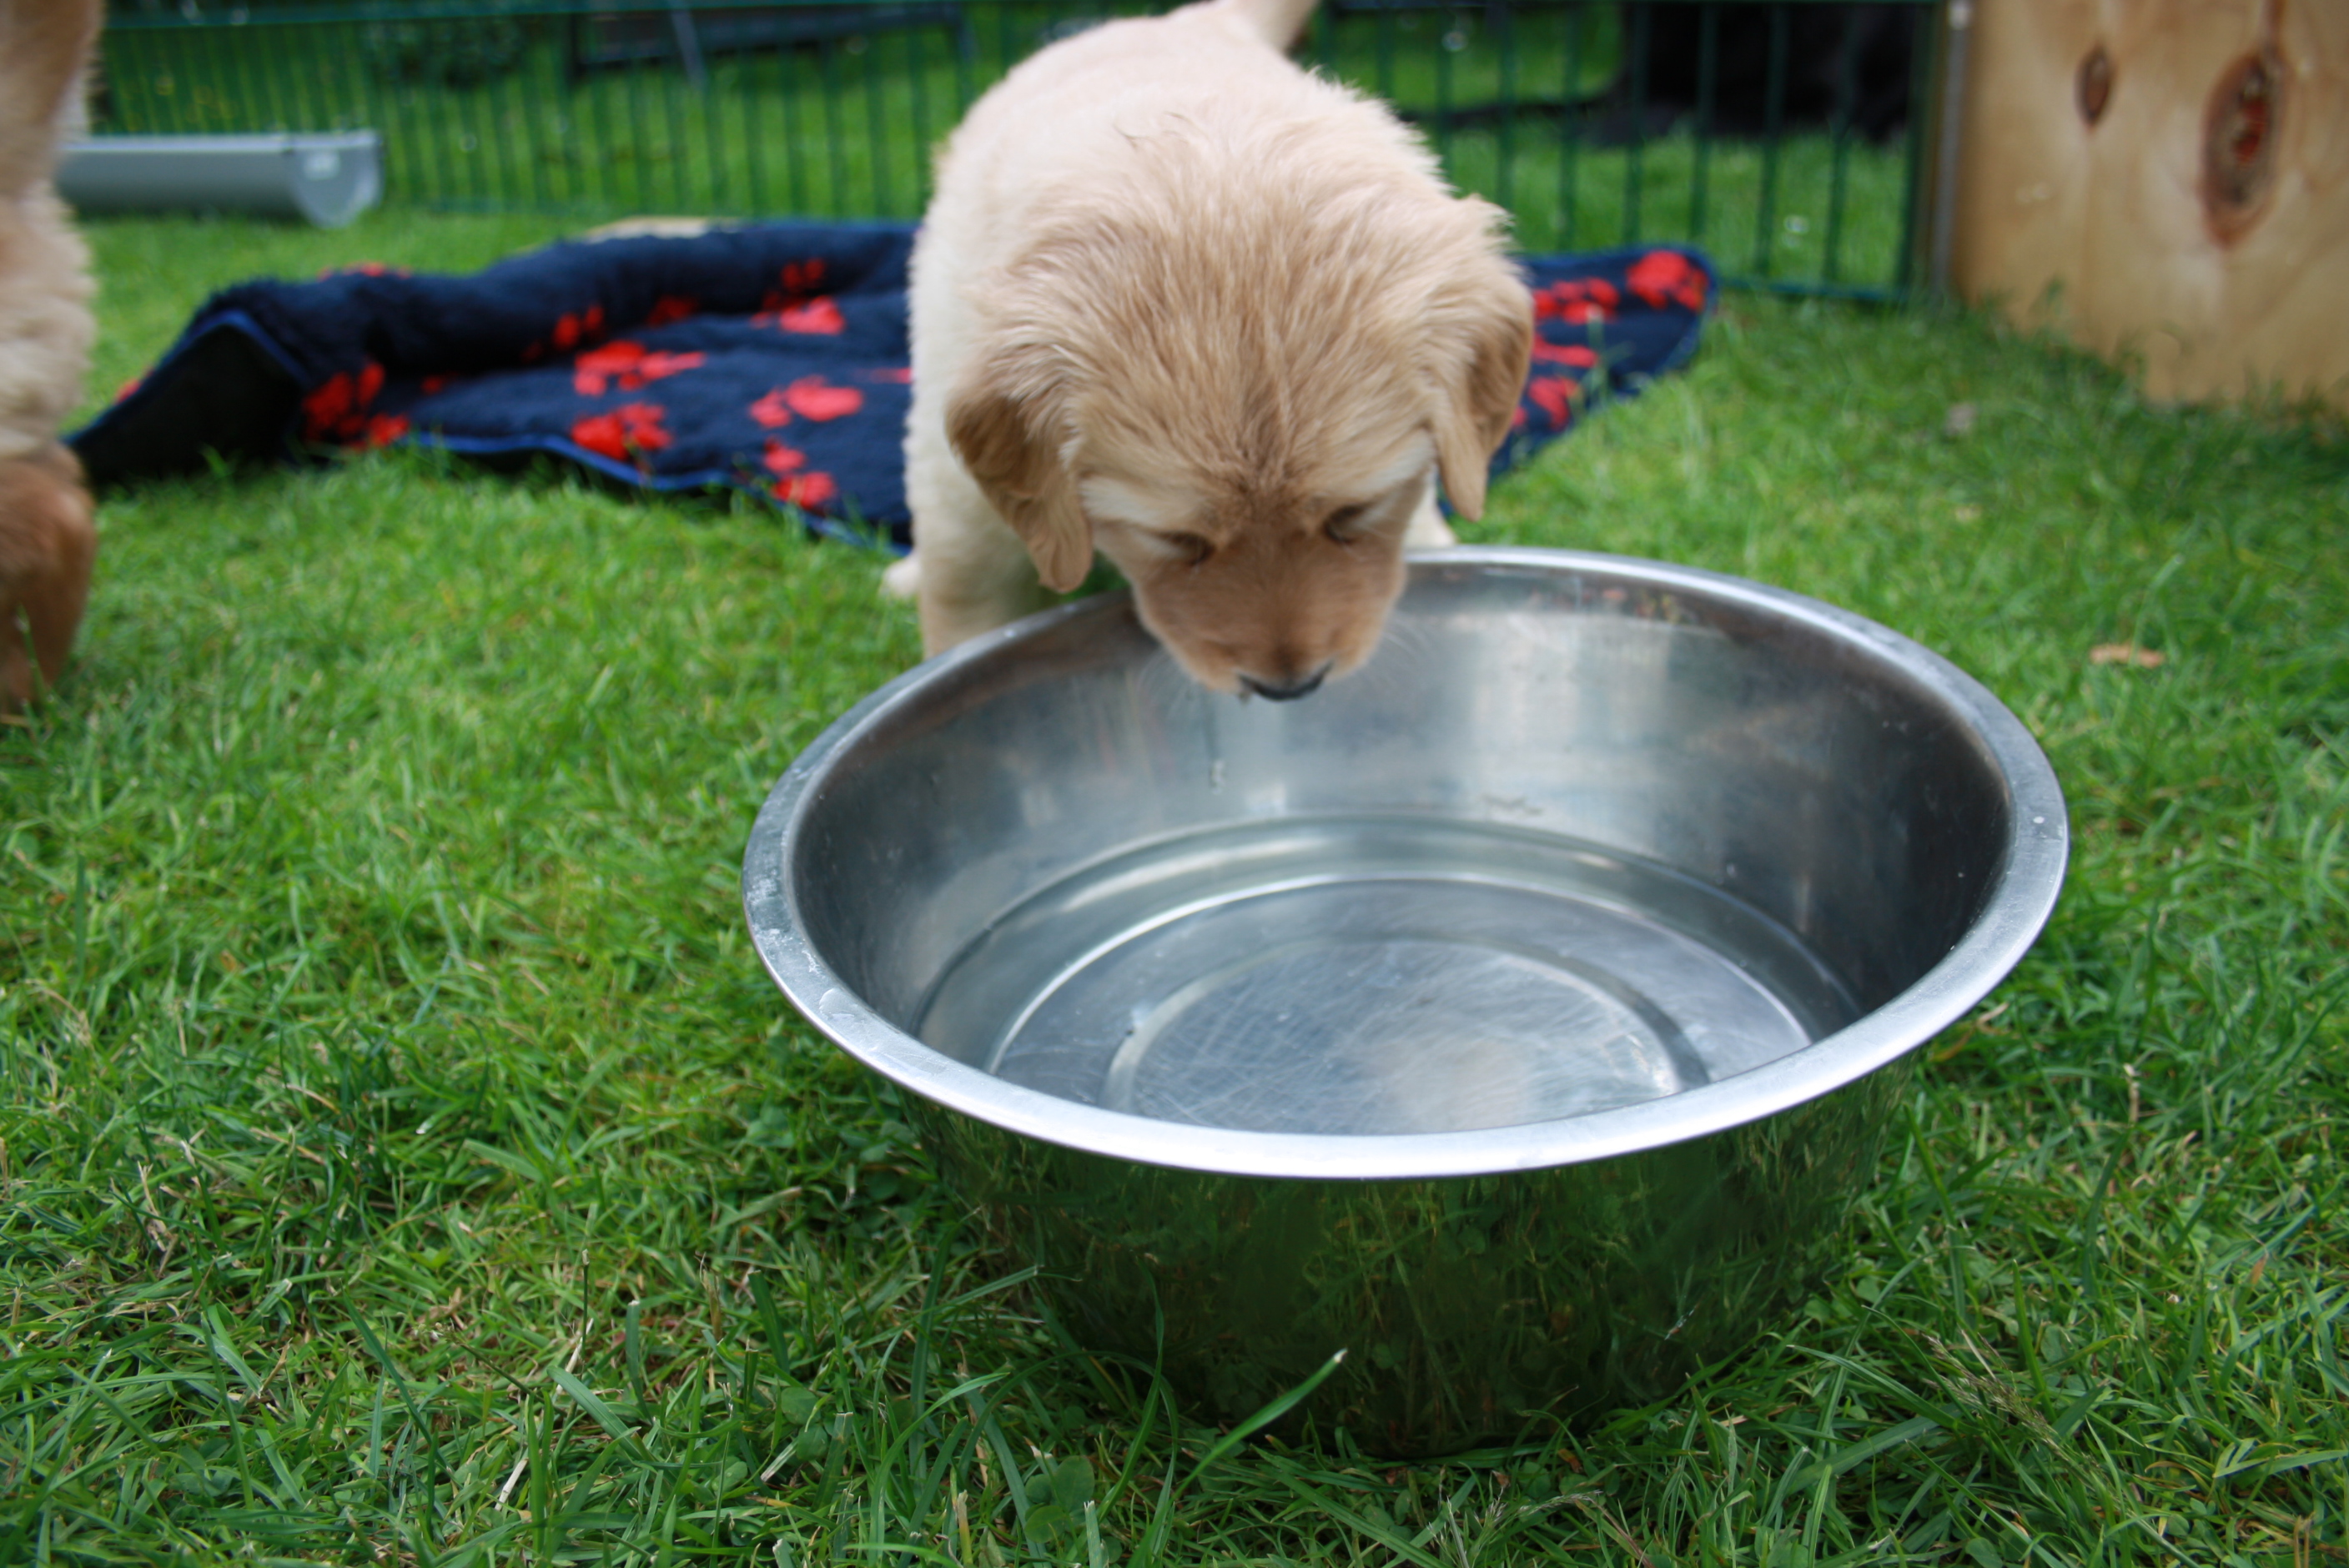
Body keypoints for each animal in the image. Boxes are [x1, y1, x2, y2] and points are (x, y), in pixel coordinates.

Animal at [885, 0, 1531, 699]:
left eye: (1352, 512)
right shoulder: (957, 489)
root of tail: (1180, 20)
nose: (1289, 686)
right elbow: (969, 594)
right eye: (1178, 539)